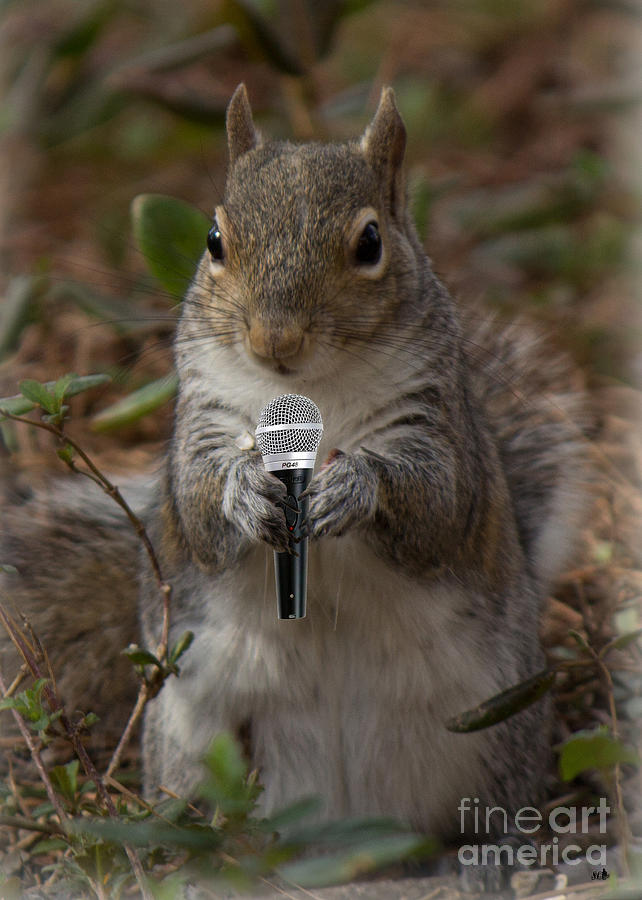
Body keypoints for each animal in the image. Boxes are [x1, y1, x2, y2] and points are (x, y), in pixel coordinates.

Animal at [1, 84, 592, 844]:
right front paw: (245, 491)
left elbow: (437, 507)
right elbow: (197, 506)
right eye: (214, 240)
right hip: (196, 740)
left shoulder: (437, 426)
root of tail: (348, 814)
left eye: (370, 242)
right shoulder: (203, 418)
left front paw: (353, 486)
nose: (272, 339)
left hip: (497, 738)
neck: (316, 390)